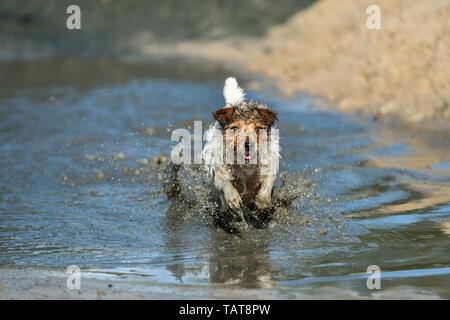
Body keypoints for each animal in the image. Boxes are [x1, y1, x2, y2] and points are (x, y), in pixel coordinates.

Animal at [203, 77, 280, 222]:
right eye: (234, 128)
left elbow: (267, 183)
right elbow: (224, 181)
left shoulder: (268, 168)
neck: (245, 167)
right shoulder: (220, 169)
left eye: (258, 128)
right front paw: (233, 200)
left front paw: (261, 205)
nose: (248, 144)